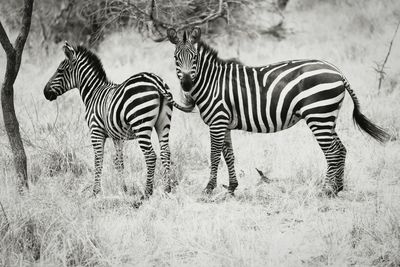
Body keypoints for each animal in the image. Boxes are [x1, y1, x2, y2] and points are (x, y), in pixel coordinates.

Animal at [43, 42, 192, 197]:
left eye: (60, 70)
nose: (45, 92)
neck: (93, 92)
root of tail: (155, 80)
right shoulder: (117, 136)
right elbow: (119, 162)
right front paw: (123, 189)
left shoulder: (96, 131)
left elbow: (98, 160)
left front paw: (95, 191)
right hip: (163, 123)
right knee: (165, 153)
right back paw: (167, 189)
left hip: (141, 125)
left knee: (150, 156)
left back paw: (147, 192)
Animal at [167, 27, 390, 197]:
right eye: (176, 58)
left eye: (195, 58)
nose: (186, 84)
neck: (211, 82)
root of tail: (338, 72)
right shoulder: (224, 124)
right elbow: (229, 156)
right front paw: (232, 188)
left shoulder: (217, 122)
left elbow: (214, 155)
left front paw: (208, 189)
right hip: (327, 117)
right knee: (341, 149)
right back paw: (337, 189)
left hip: (318, 116)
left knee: (332, 152)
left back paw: (326, 190)